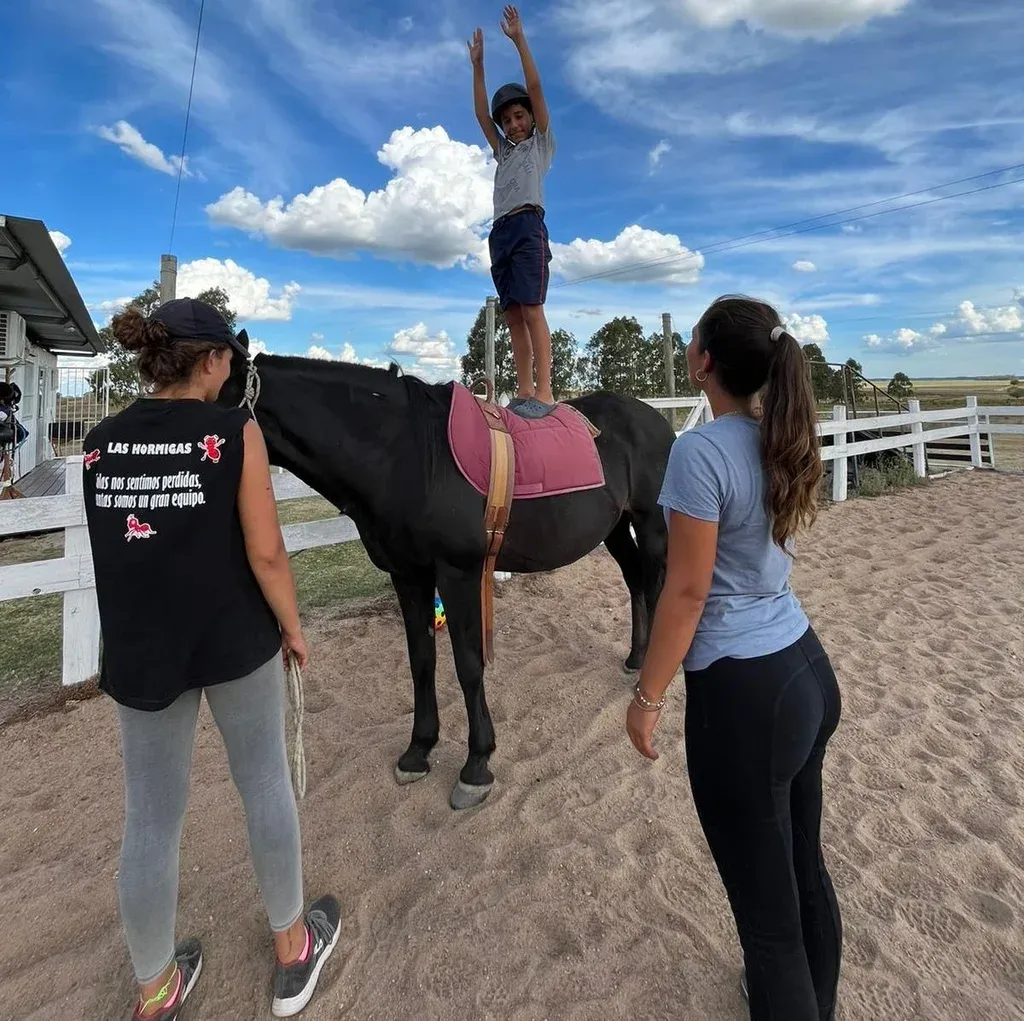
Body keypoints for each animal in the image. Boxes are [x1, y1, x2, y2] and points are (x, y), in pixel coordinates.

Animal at [221, 344, 676, 810]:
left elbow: (468, 666)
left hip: (651, 525)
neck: (408, 454)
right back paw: (636, 658)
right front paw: (418, 750)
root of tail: (657, 419)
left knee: (659, 588)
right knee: (636, 581)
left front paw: (476, 765)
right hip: (616, 528)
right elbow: (421, 661)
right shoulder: (408, 575)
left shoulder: (459, 575)